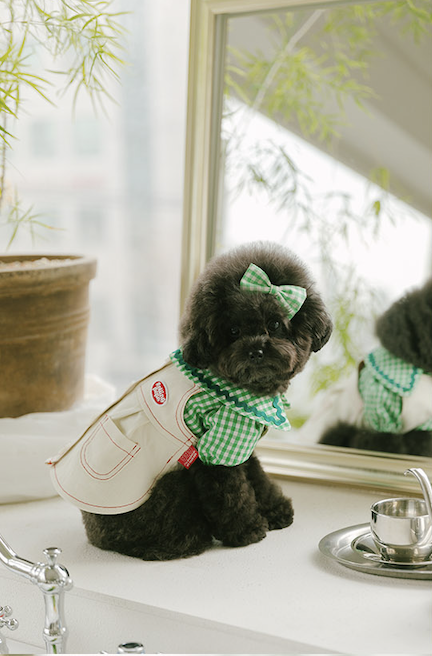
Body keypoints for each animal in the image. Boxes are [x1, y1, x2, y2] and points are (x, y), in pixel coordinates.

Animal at [52, 241, 332, 560]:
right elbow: (232, 493)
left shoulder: (240, 444)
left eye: (274, 324)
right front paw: (247, 530)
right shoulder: (215, 453)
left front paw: (275, 510)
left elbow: (256, 475)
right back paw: (185, 539)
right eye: (232, 331)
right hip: (171, 485)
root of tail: (93, 533)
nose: (256, 351)